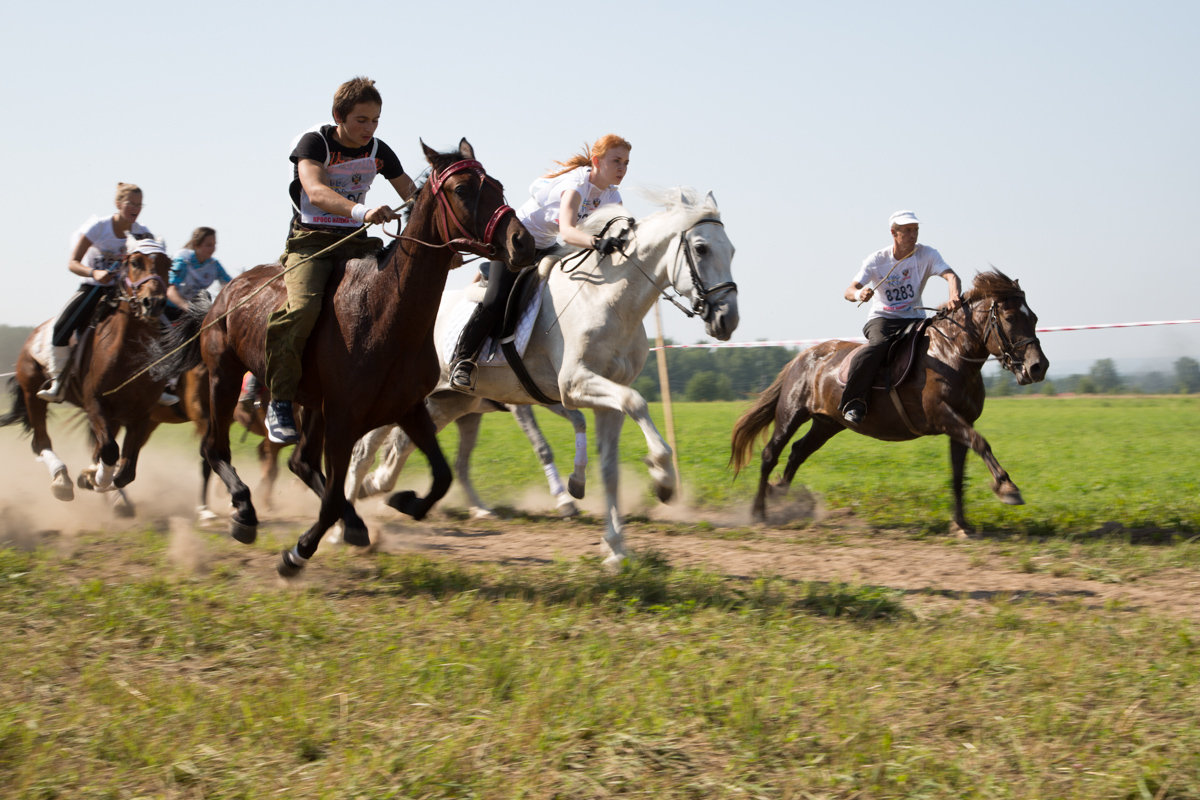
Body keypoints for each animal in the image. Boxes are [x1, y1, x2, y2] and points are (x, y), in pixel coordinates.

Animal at [0, 237, 174, 515]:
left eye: (168, 265)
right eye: (135, 262)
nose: (154, 302)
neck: (128, 355)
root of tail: (33, 335)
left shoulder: (141, 413)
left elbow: (125, 470)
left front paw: (95, 479)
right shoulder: (95, 403)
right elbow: (110, 451)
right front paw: (93, 479)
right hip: (33, 394)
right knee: (41, 442)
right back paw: (62, 480)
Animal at [153, 139, 535, 575]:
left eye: (497, 185)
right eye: (461, 190)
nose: (522, 242)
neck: (385, 312)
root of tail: (225, 294)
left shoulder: (407, 408)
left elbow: (440, 475)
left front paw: (404, 501)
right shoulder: (343, 419)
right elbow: (337, 493)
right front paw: (296, 553)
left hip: (310, 403)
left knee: (300, 462)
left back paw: (351, 524)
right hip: (225, 377)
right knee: (215, 448)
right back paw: (245, 513)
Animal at [350, 189, 739, 568]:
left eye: (732, 250)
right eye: (701, 248)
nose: (727, 319)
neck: (608, 299)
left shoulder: (603, 400)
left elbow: (609, 464)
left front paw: (616, 548)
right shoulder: (574, 385)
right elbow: (635, 403)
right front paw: (663, 480)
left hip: (451, 403)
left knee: (400, 451)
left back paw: (379, 493)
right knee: (365, 449)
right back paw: (349, 526)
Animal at [724, 268, 1046, 537]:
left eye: (1033, 318)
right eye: (1009, 318)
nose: (1038, 366)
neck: (951, 354)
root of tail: (802, 357)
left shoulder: (960, 424)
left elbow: (958, 473)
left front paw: (961, 523)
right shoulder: (944, 416)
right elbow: (981, 443)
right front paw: (1008, 488)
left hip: (827, 423)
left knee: (798, 451)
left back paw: (779, 493)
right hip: (792, 414)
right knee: (770, 454)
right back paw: (759, 512)